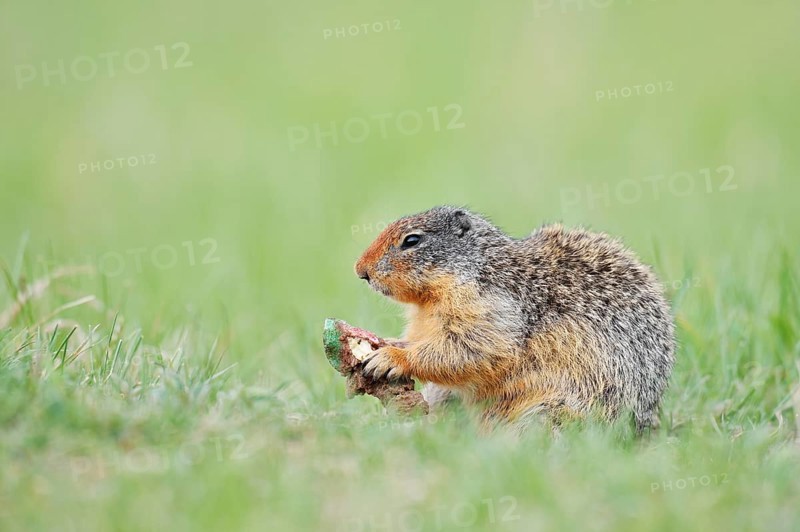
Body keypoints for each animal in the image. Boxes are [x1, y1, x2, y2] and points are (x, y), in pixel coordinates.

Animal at [354, 206, 675, 433]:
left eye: (412, 240)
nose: (360, 270)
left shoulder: (491, 308)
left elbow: (470, 349)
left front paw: (390, 357)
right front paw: (385, 343)